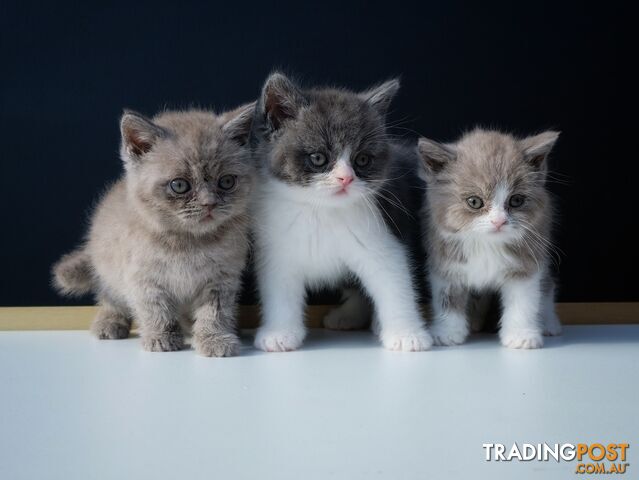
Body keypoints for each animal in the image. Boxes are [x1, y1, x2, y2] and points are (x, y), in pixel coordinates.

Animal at [52, 106, 256, 356]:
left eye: (226, 181)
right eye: (179, 185)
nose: (209, 203)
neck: (189, 242)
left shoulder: (221, 278)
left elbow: (215, 312)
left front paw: (214, 338)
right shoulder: (143, 277)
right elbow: (156, 309)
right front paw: (161, 338)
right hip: (108, 266)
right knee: (110, 296)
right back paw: (110, 323)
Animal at [249, 74, 430, 352]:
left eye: (363, 160)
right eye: (318, 158)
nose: (346, 178)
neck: (321, 211)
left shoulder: (380, 237)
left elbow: (394, 282)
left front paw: (406, 334)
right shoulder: (277, 249)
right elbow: (279, 291)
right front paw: (280, 333)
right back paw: (348, 316)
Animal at [418, 127, 564, 348]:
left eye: (516, 200)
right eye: (474, 202)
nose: (499, 221)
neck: (487, 245)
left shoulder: (526, 262)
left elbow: (523, 301)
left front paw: (521, 336)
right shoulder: (446, 260)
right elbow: (447, 298)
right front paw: (447, 332)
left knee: (547, 285)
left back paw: (549, 323)